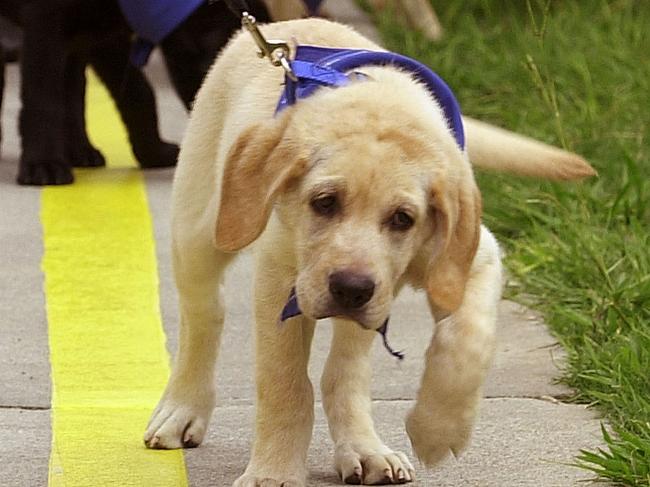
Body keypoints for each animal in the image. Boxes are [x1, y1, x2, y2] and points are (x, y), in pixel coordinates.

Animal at [0, 0, 268, 185]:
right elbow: (44, 100)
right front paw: (43, 164)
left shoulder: (103, 36)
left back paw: (81, 151)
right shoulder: (46, 26)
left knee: (74, 91)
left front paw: (152, 152)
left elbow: (139, 94)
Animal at [144, 17, 596, 486]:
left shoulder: (470, 258)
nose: (351, 288)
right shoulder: (279, 277)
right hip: (200, 229)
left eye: (403, 218)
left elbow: (467, 341)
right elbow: (284, 382)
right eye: (324, 202)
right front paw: (274, 471)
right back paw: (182, 409)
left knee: (345, 369)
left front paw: (437, 429)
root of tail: (279, 24)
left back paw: (365, 448)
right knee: (203, 316)